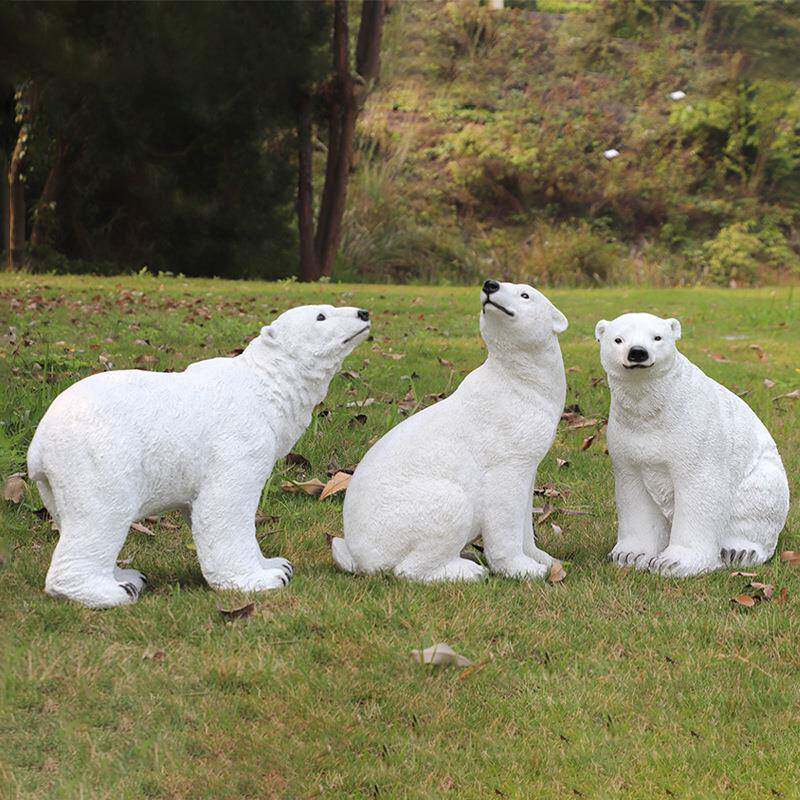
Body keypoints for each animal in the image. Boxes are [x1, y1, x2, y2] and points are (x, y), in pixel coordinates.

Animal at [28, 304, 371, 607]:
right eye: (321, 316)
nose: (363, 313)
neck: (263, 386)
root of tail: (38, 445)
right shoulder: (237, 438)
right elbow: (223, 506)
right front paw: (263, 580)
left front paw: (276, 563)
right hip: (97, 454)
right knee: (103, 513)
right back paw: (113, 591)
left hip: (57, 479)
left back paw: (126, 576)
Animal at [331, 280, 568, 582]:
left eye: (525, 294)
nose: (490, 285)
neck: (515, 381)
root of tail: (359, 557)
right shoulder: (505, 454)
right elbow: (503, 510)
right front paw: (522, 569)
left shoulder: (529, 463)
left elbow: (525, 512)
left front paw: (545, 559)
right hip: (416, 512)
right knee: (411, 562)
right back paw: (467, 570)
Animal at [596, 312, 790, 577]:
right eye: (618, 339)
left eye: (657, 337)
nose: (638, 353)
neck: (654, 409)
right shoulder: (626, 437)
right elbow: (633, 491)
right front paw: (629, 555)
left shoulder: (696, 430)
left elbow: (700, 487)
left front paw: (674, 562)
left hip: (762, 480)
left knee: (757, 503)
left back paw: (740, 551)